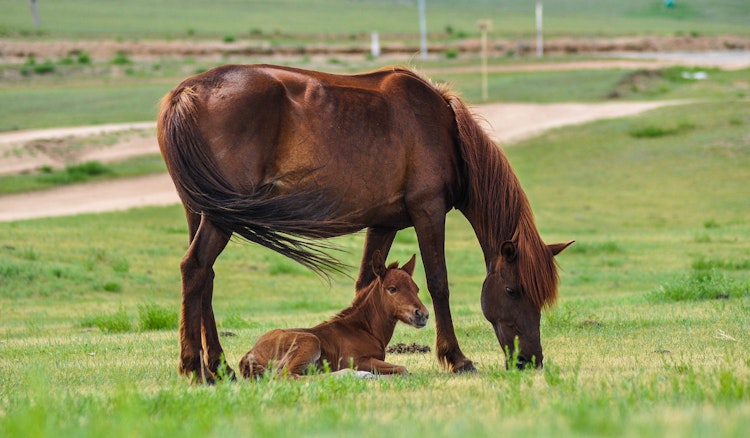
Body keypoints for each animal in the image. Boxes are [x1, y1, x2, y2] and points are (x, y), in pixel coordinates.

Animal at [241, 252, 428, 378]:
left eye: (416, 289)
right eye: (392, 289)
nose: (423, 314)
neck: (364, 329)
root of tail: (251, 353)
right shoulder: (357, 360)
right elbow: (403, 369)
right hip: (310, 342)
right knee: (288, 377)